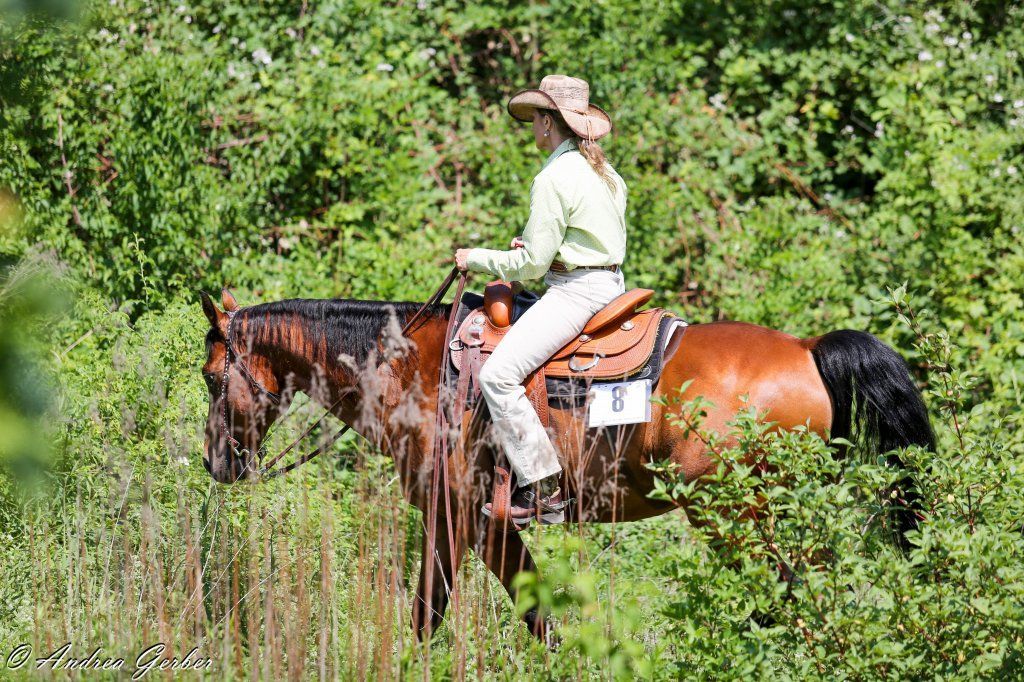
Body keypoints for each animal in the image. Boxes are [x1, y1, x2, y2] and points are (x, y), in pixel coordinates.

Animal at [197, 286, 934, 641]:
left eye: (210, 377)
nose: (216, 463)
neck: (412, 367)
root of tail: (808, 349)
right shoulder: (489, 522)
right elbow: (538, 615)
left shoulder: (453, 512)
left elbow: (429, 611)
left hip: (738, 518)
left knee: (783, 599)